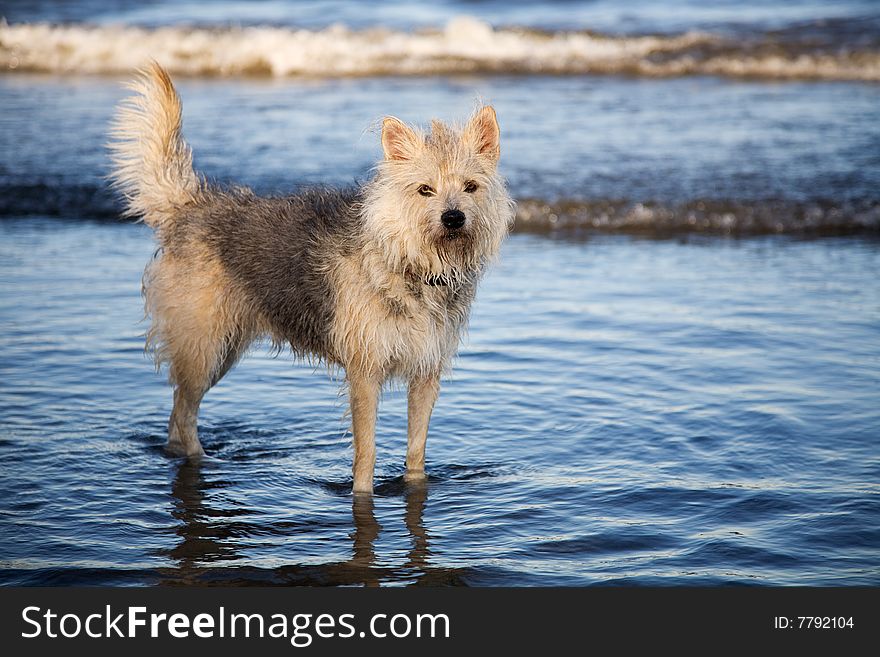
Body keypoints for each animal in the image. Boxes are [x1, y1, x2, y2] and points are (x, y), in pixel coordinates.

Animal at [108, 64, 516, 492]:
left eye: (470, 186)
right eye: (425, 190)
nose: (453, 218)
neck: (411, 264)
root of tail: (190, 206)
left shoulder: (425, 373)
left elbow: (416, 451)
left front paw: (415, 484)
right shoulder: (364, 373)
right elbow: (366, 453)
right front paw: (362, 495)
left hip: (221, 350)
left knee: (177, 415)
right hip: (202, 347)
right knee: (183, 414)